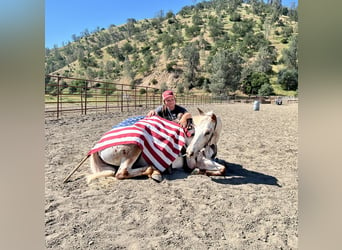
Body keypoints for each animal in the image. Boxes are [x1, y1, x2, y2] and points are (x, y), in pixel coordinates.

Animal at [86, 108, 224, 184]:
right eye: (195, 129)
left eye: (207, 132)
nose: (189, 152)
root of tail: (97, 147)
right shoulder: (197, 161)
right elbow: (222, 168)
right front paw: (198, 171)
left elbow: (222, 168)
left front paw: (201, 171)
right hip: (135, 148)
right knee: (121, 173)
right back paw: (153, 171)